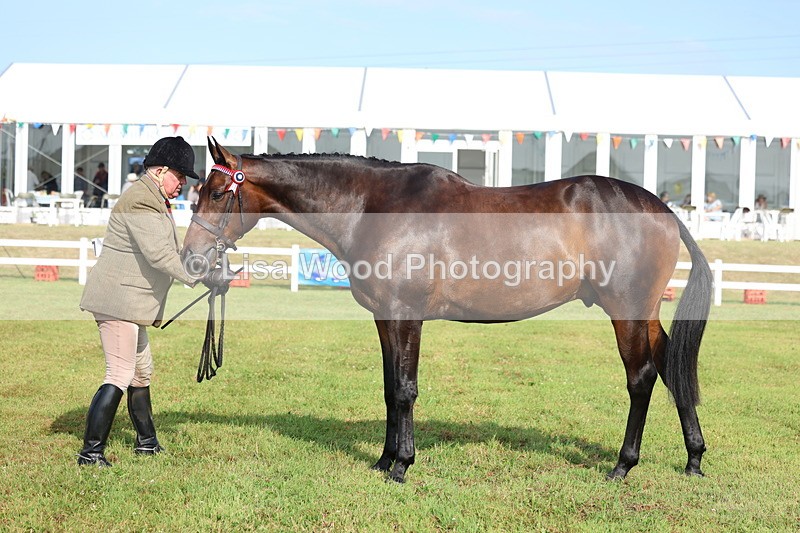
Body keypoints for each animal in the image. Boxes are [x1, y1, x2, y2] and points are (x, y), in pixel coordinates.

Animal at [183, 137, 712, 483]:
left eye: (215, 192)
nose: (190, 257)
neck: (373, 206)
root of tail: (662, 209)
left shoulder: (406, 315)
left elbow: (405, 389)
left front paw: (402, 465)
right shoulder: (383, 317)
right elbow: (388, 388)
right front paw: (383, 459)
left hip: (626, 312)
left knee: (641, 378)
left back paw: (623, 465)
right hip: (646, 313)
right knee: (672, 367)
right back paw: (693, 459)